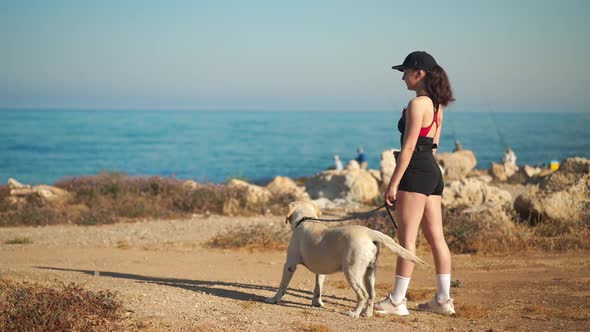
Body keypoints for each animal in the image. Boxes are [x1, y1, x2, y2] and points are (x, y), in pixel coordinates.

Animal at [268, 201, 426, 318]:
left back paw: (354, 313)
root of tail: (371, 233)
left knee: (363, 295)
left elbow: (282, 285)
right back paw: (367, 314)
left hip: (351, 272)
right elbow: (318, 287)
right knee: (372, 294)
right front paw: (317, 303)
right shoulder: (321, 270)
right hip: (370, 273)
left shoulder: (290, 265)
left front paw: (274, 299)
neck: (305, 219)